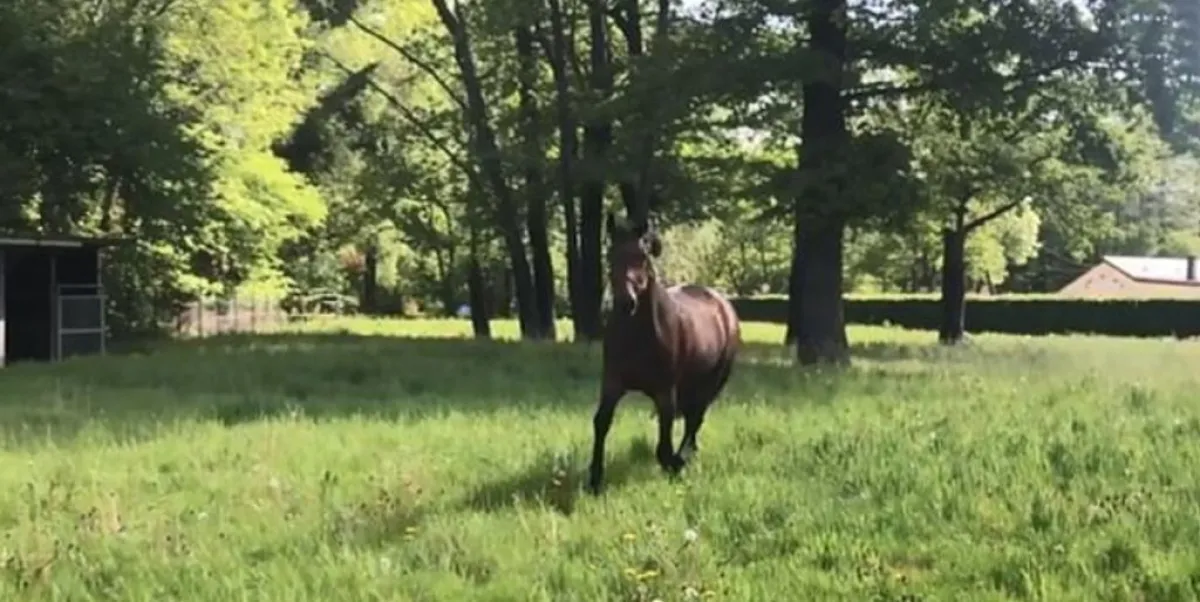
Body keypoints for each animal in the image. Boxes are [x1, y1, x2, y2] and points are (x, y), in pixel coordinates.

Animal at [587, 213, 742, 494]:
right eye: (610, 255)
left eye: (642, 257)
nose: (626, 303)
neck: (638, 335)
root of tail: (722, 304)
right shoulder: (613, 382)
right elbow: (601, 422)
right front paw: (594, 479)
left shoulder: (665, 390)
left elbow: (664, 443)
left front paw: (675, 465)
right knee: (692, 418)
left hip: (711, 382)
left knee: (695, 418)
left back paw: (686, 455)